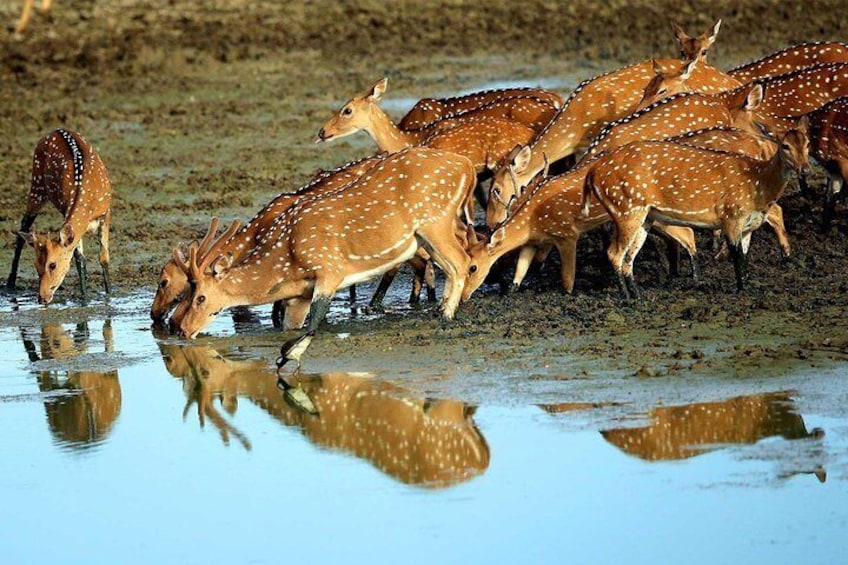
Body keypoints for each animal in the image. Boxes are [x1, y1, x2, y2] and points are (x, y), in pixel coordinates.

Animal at [7, 129, 112, 304]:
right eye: (35, 265)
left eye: (52, 265)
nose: (42, 298)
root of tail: (53, 131)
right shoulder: (66, 212)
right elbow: (80, 259)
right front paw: (85, 300)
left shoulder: (106, 212)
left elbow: (103, 256)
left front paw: (109, 295)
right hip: (37, 186)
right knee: (24, 226)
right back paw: (10, 283)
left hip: (37, 187)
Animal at [584, 125, 808, 298]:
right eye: (785, 146)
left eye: (807, 144)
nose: (805, 169)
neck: (758, 183)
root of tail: (592, 173)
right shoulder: (731, 215)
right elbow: (737, 256)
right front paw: (741, 290)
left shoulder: (748, 225)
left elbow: (744, 255)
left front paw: (747, 286)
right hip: (626, 209)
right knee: (614, 253)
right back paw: (627, 297)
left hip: (643, 217)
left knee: (629, 257)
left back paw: (639, 295)